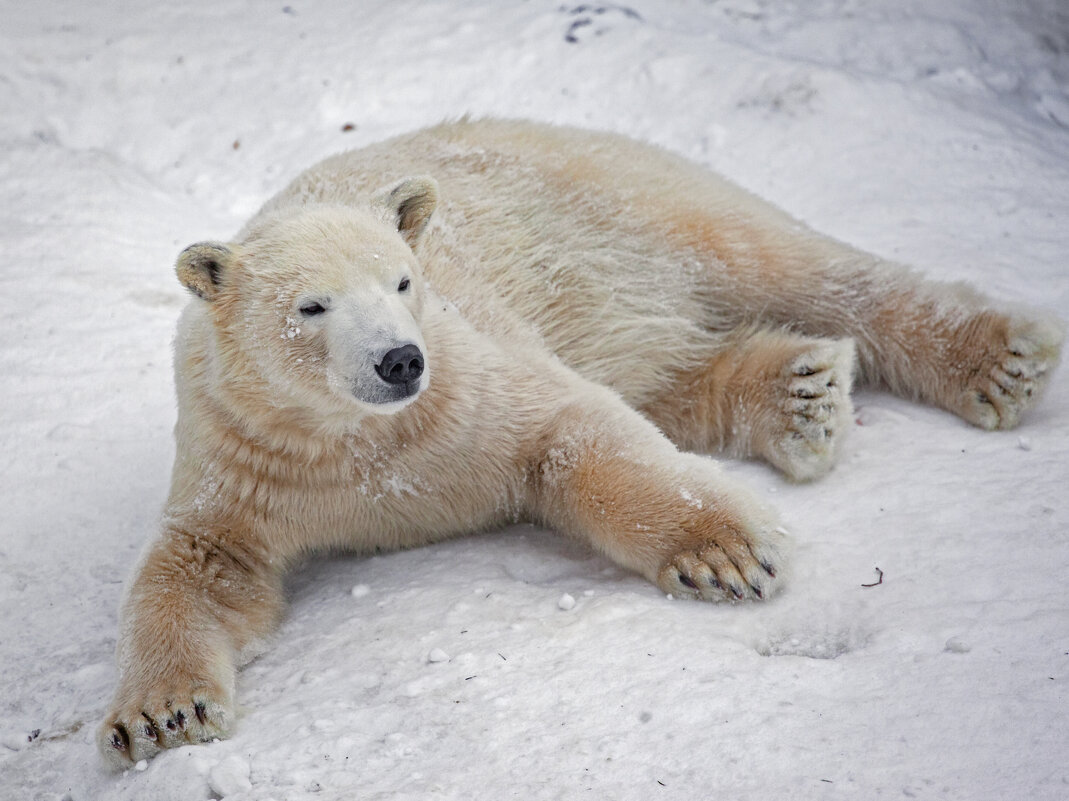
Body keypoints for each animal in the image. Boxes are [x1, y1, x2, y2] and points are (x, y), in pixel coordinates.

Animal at [98, 118, 1060, 761]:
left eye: (403, 281)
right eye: (311, 305)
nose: (401, 359)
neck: (358, 441)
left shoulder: (464, 380)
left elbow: (567, 431)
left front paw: (728, 552)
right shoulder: (250, 456)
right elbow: (200, 567)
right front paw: (159, 715)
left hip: (624, 203)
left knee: (793, 265)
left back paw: (996, 361)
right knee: (675, 370)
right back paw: (800, 395)